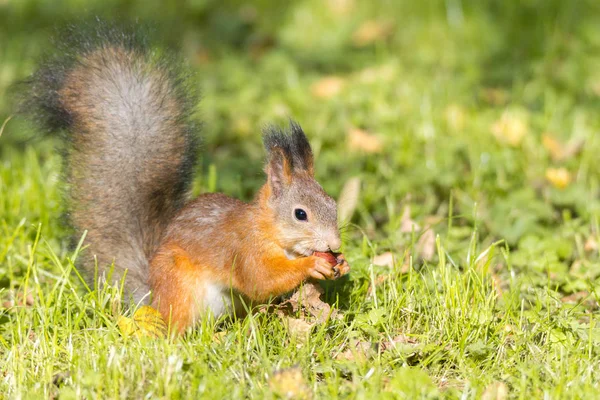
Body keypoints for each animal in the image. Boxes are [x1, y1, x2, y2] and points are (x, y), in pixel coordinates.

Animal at [22, 23, 352, 332]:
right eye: (300, 214)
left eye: (333, 204)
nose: (334, 243)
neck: (268, 230)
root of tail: (152, 298)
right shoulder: (243, 251)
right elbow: (262, 279)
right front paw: (313, 264)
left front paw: (342, 263)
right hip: (179, 286)